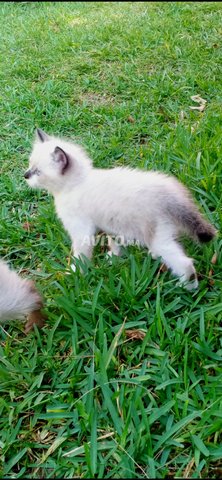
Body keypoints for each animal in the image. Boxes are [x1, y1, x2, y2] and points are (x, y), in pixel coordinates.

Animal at [25, 127, 216, 290]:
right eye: (30, 165)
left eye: (38, 172)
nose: (25, 175)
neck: (76, 183)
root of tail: (170, 195)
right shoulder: (112, 226)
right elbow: (115, 244)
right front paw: (113, 259)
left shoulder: (81, 231)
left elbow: (81, 255)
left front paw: (74, 274)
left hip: (157, 238)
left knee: (185, 262)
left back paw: (186, 287)